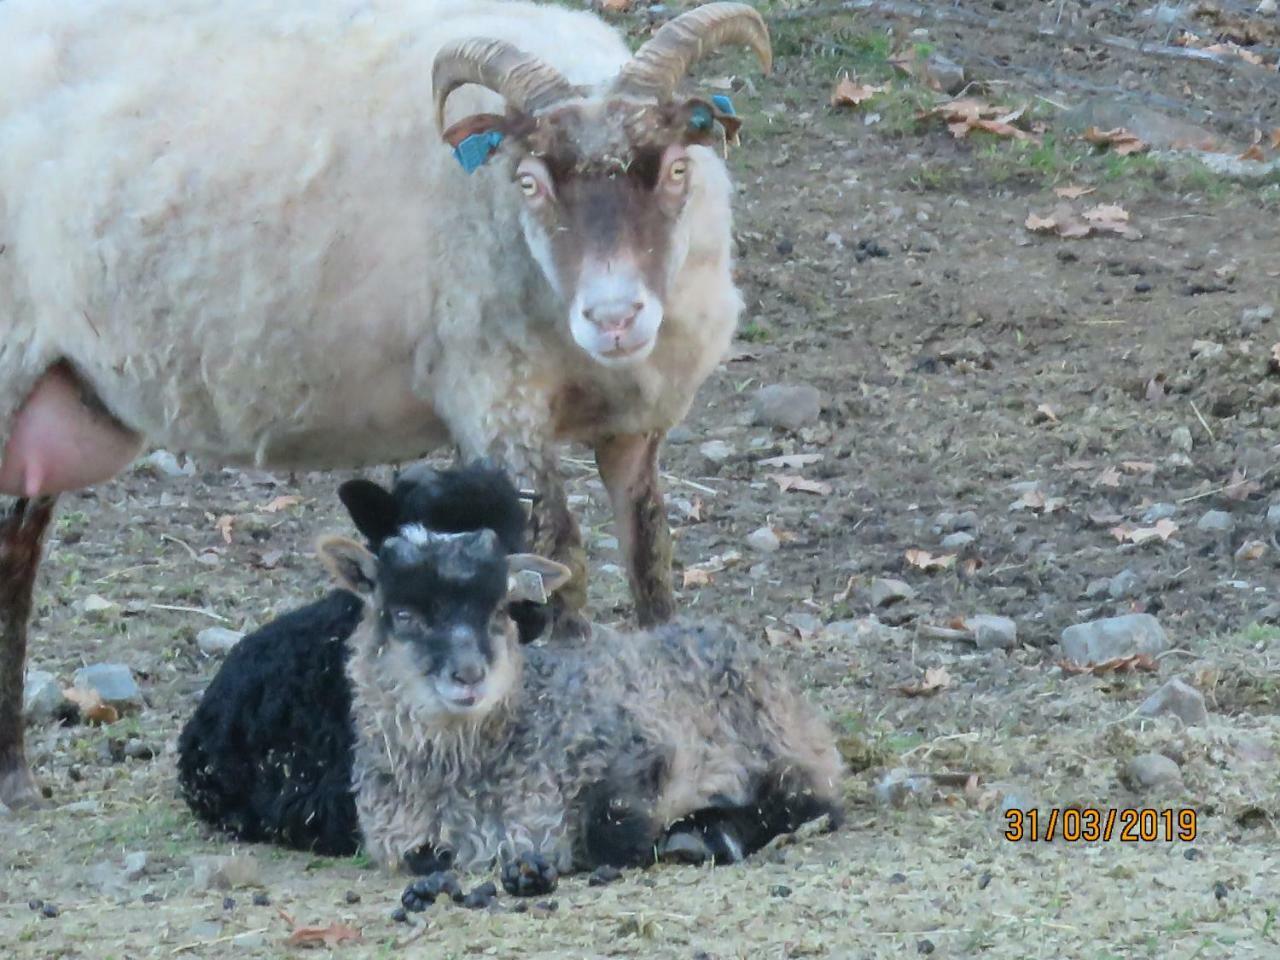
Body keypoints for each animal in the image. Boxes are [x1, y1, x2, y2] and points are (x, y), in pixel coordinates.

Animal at [0, 0, 768, 814]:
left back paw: (15, 778)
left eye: (677, 168)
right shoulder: (498, 398)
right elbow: (564, 564)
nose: (614, 318)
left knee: (15, 555)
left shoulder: (635, 427)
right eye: (529, 182)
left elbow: (652, 563)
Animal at [314, 522, 844, 890]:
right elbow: (424, 856)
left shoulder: (645, 750)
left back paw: (710, 832)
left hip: (776, 743)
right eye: (403, 614)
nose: (468, 675)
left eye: (499, 609)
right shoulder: (405, 839)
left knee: (810, 797)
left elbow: (611, 830)